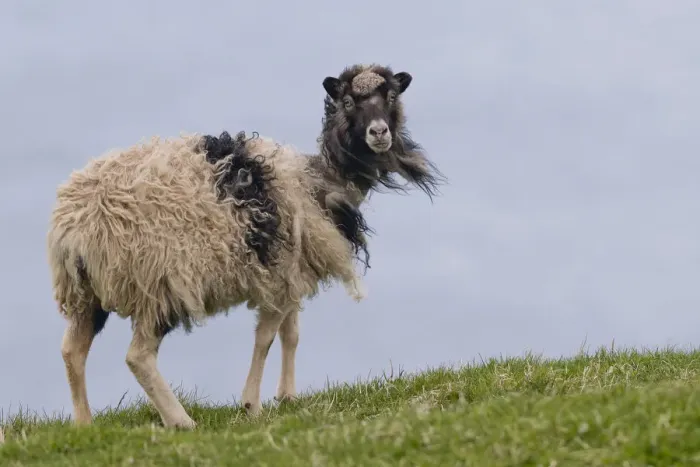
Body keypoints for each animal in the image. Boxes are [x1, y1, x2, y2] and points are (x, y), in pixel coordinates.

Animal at [48, 63, 445, 430]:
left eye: (391, 95)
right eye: (347, 101)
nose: (379, 132)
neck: (316, 179)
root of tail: (75, 226)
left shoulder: (289, 272)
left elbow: (291, 335)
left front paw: (287, 397)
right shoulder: (278, 276)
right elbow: (265, 338)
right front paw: (252, 405)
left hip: (85, 293)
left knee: (72, 351)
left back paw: (84, 425)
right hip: (161, 284)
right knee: (138, 357)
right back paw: (181, 421)